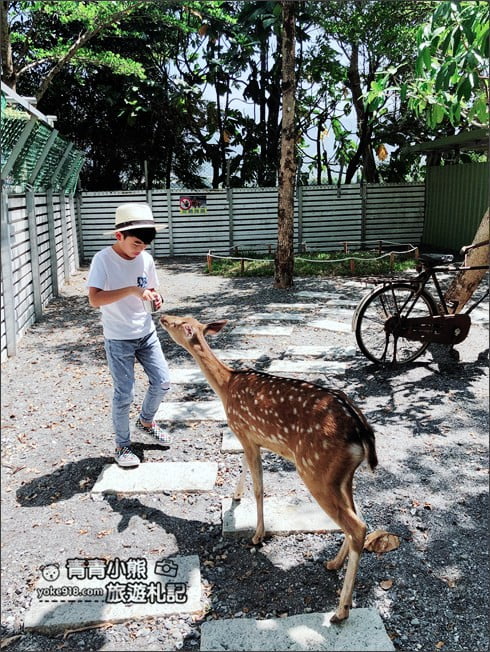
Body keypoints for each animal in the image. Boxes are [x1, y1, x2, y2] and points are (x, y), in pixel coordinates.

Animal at [159, 314, 378, 623]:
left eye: (178, 324)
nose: (161, 316)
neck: (226, 386)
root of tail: (362, 432)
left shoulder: (241, 428)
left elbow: (260, 487)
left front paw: (257, 535)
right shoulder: (250, 436)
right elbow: (243, 466)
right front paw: (236, 496)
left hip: (316, 472)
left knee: (356, 526)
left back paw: (340, 610)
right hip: (342, 477)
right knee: (361, 516)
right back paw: (333, 563)